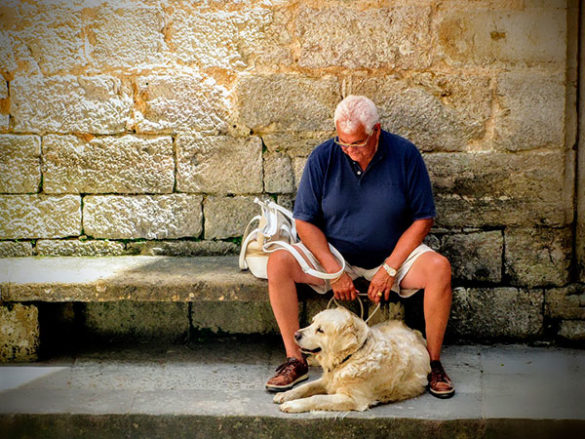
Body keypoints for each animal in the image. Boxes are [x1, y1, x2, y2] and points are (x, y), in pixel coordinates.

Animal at [272, 308, 428, 414]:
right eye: (312, 322)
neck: (351, 356)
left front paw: (292, 404)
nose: (295, 334)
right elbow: (306, 386)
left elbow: (317, 398)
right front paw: (285, 395)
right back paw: (311, 360)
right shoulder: (327, 380)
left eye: (320, 330)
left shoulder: (353, 399)